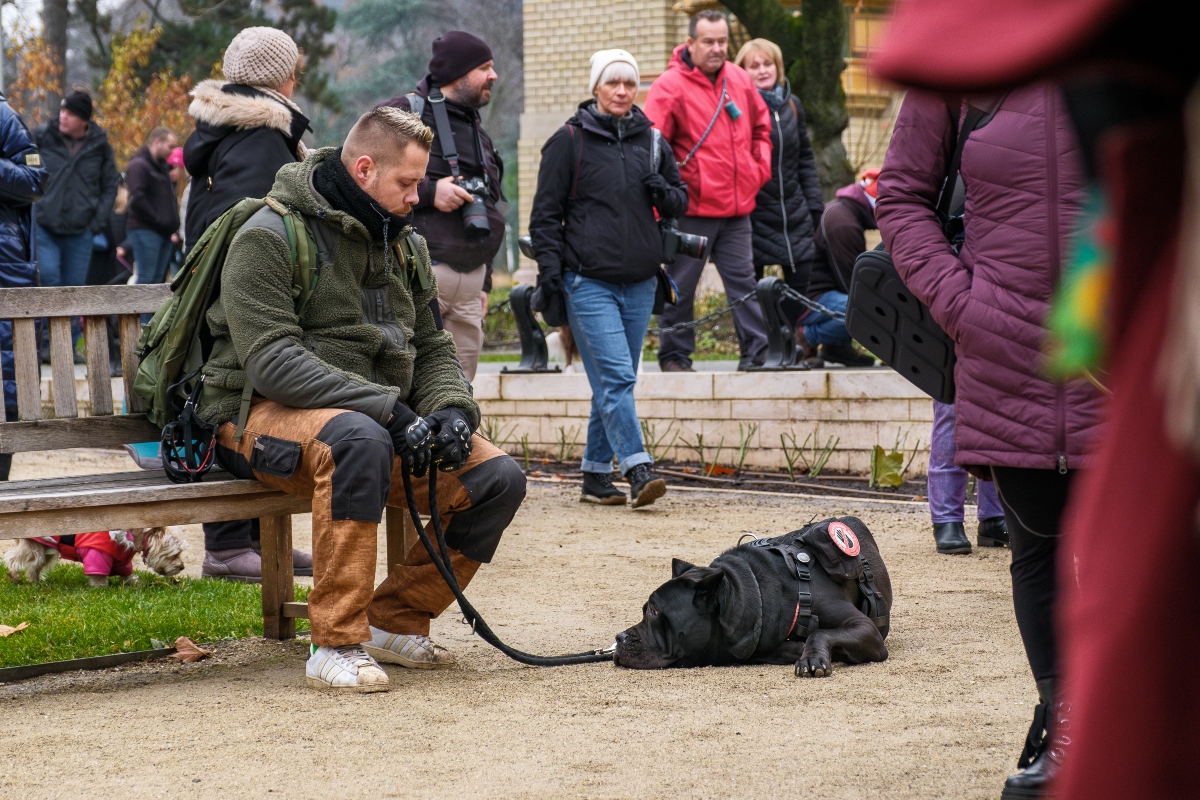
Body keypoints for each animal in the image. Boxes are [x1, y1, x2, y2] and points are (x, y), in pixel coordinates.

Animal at [5, 525, 187, 587]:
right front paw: (100, 588)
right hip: (34, 548)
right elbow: (98, 575)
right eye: (175, 554)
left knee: (34, 567)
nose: (182, 566)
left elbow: (126, 573)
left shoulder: (121, 559)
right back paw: (14, 576)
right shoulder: (97, 555)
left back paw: (35, 582)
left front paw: (133, 583)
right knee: (11, 557)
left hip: (45, 551)